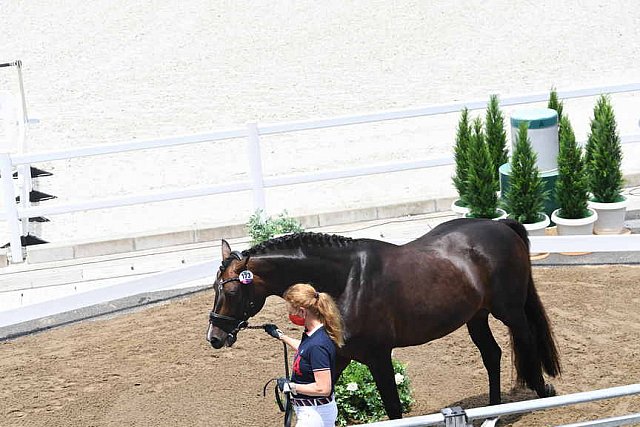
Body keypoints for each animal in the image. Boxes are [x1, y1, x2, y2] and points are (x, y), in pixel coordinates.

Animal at [206, 219, 560, 420]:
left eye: (232, 291)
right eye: (214, 287)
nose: (214, 336)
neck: (346, 281)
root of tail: (501, 225)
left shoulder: (378, 357)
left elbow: (392, 408)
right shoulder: (339, 355)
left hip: (509, 310)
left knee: (526, 340)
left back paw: (542, 392)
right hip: (476, 315)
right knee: (491, 354)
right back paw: (493, 408)